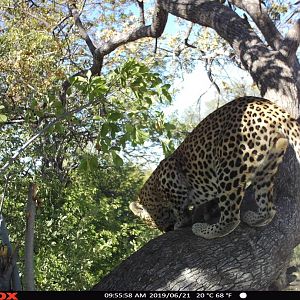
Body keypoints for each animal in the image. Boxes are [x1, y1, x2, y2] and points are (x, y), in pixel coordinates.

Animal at [129, 97, 300, 240]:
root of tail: (270, 108)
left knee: (231, 217)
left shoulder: (170, 174)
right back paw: (253, 218)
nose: (165, 229)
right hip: (267, 168)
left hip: (229, 165)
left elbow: (179, 208)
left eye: (150, 222)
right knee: (268, 209)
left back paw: (204, 230)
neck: (153, 192)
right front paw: (204, 210)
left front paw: (181, 221)